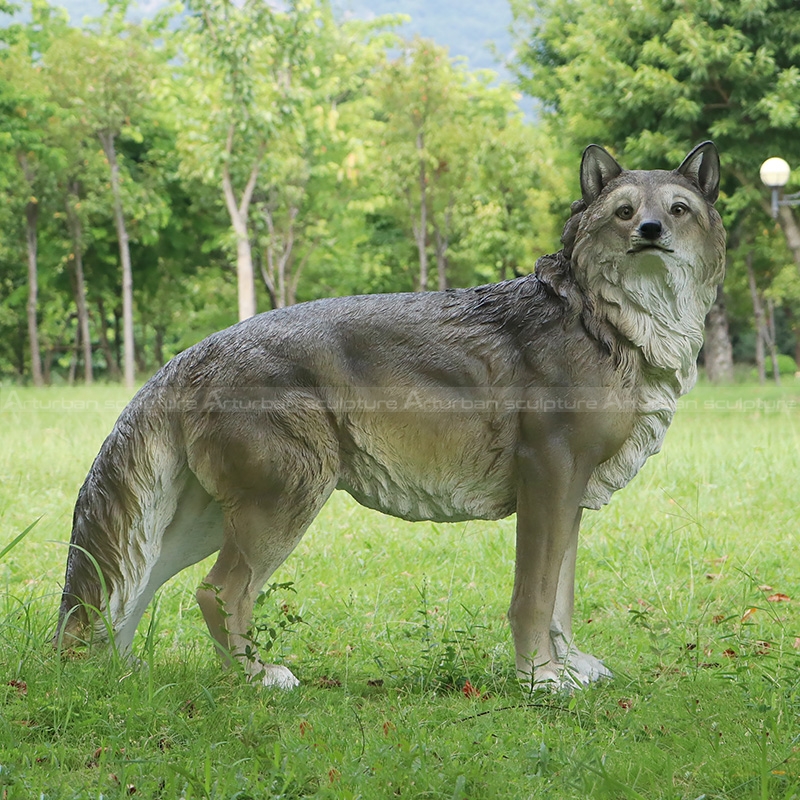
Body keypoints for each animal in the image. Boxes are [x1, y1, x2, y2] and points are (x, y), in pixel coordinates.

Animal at [56, 142, 726, 691]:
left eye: (677, 209)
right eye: (624, 212)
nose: (650, 231)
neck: (610, 323)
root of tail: (193, 351)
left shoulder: (571, 494)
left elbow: (562, 594)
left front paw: (572, 667)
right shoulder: (548, 479)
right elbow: (533, 596)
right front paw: (541, 680)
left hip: (199, 527)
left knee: (127, 592)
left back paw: (120, 680)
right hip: (279, 510)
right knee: (217, 594)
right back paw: (255, 679)